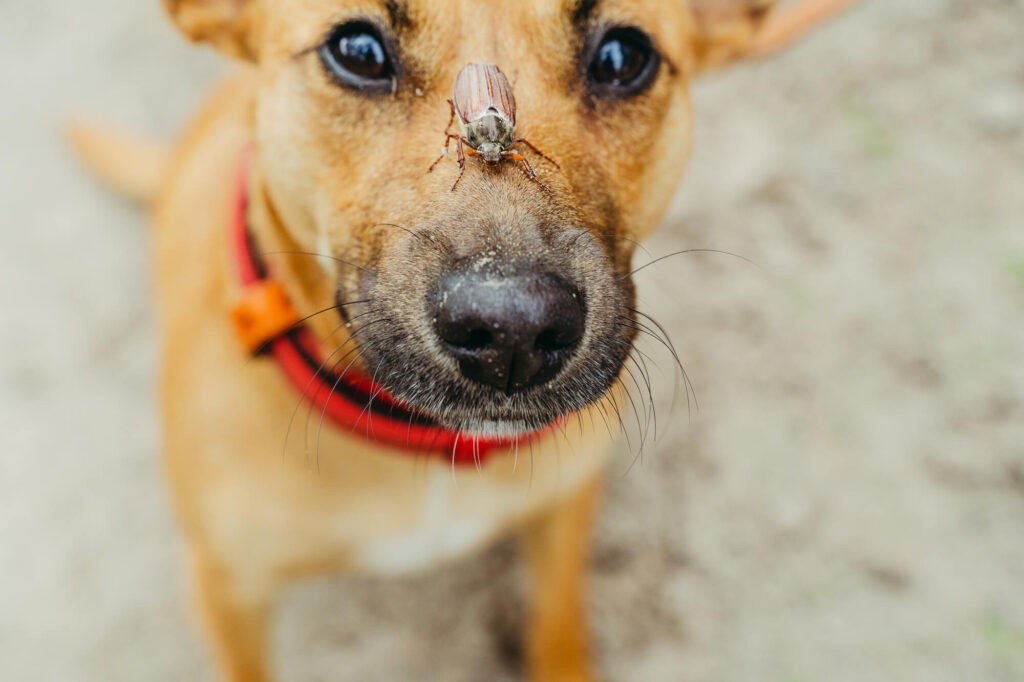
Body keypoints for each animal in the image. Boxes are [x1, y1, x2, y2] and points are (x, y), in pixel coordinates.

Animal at [74, 0, 856, 675]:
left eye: (623, 56)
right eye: (357, 51)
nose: (513, 330)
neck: (423, 447)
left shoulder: (565, 512)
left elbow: (556, 626)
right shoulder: (226, 588)